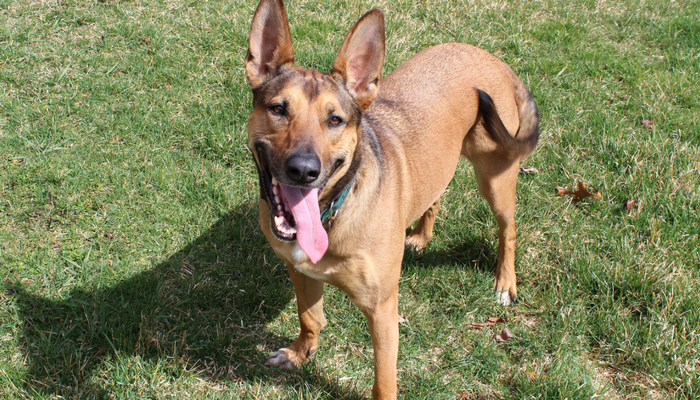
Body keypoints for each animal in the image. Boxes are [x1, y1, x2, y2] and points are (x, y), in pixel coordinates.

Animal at [243, 0, 540, 396]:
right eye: (278, 109)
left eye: (335, 120)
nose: (303, 170)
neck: (333, 212)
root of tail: (490, 56)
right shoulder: (298, 269)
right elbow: (310, 317)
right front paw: (299, 353)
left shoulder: (382, 309)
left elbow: (384, 380)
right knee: (435, 195)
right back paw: (420, 235)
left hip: (496, 178)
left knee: (508, 230)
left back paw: (505, 283)